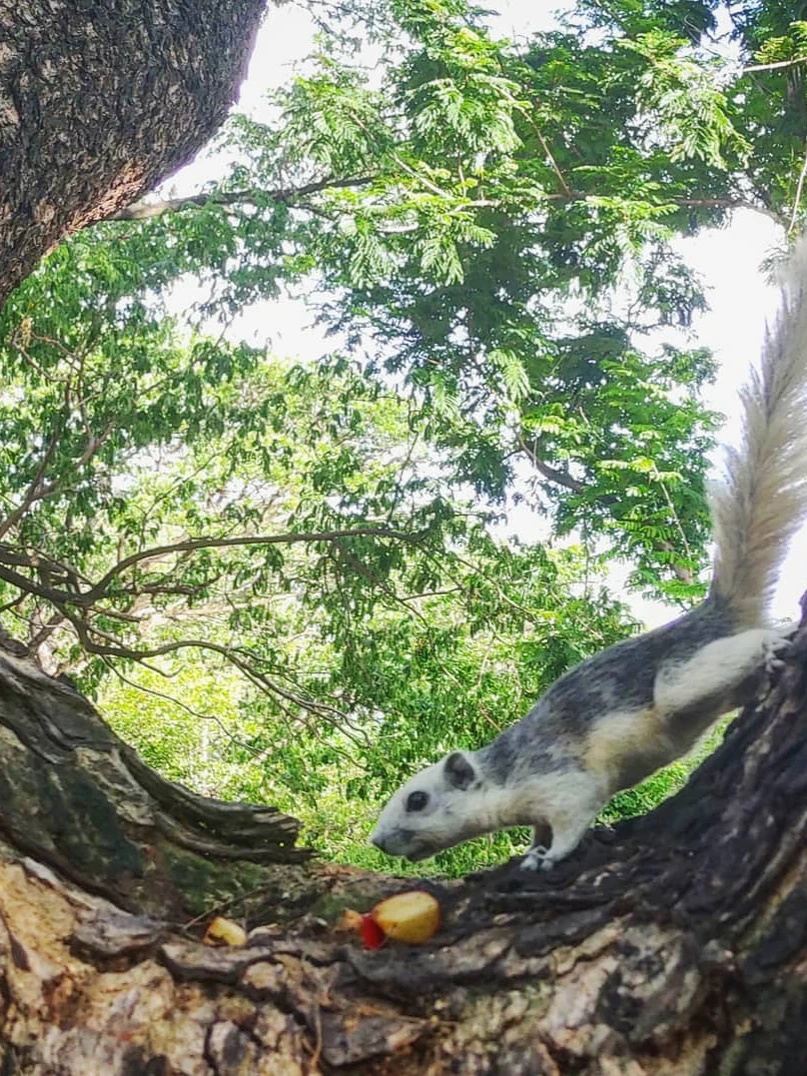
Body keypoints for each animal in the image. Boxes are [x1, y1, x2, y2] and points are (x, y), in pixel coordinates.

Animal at [370, 237, 807, 872]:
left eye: (419, 799)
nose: (378, 842)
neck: (505, 780)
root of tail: (716, 613)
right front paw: (532, 845)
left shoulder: (564, 785)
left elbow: (573, 821)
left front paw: (547, 857)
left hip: (680, 682)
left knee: (734, 653)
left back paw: (774, 641)